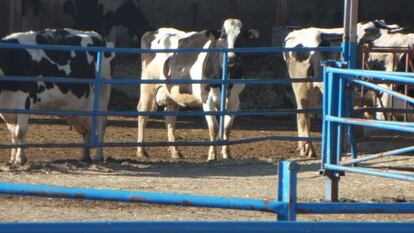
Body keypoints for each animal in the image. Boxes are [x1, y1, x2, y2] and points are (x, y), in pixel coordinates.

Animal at [0, 27, 113, 166]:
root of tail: (98, 36)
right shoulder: (8, 108)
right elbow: (13, 134)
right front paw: (12, 158)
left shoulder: (25, 101)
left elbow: (20, 132)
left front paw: (20, 159)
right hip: (80, 107)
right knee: (87, 129)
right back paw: (84, 156)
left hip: (103, 91)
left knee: (101, 122)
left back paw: (98, 155)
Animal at [136, 19, 258, 161]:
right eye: (223, 36)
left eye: (240, 37)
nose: (232, 58)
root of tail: (153, 31)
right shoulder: (207, 99)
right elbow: (214, 128)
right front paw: (212, 156)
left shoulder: (234, 100)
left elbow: (226, 129)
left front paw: (227, 155)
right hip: (148, 85)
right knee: (143, 113)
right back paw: (141, 151)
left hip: (171, 93)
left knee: (170, 118)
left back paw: (175, 151)